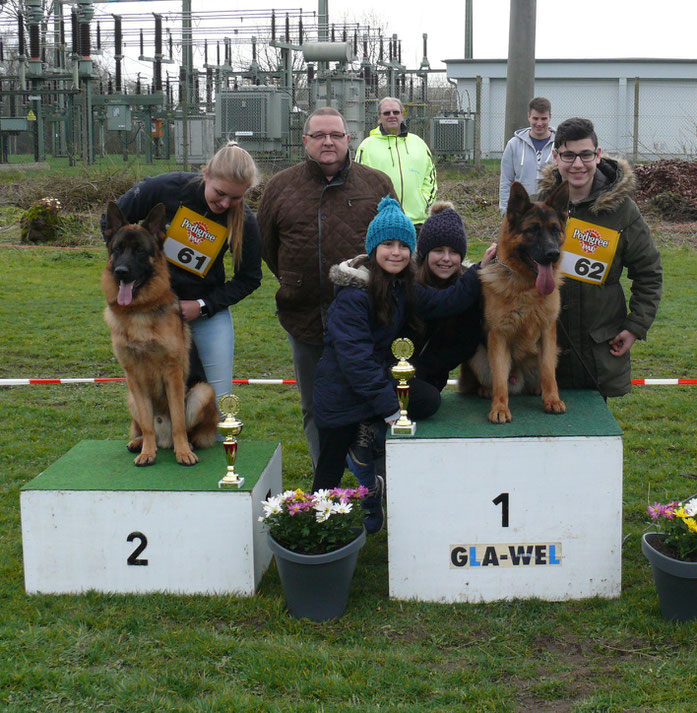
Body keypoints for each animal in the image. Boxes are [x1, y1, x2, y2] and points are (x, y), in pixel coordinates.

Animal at [101, 202, 218, 468]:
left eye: (140, 251)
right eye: (118, 249)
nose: (121, 271)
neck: (138, 311)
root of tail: (164, 440)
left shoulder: (172, 374)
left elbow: (178, 420)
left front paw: (183, 452)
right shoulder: (133, 376)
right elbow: (146, 422)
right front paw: (147, 452)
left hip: (202, 392)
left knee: (188, 429)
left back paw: (187, 444)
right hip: (131, 396)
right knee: (145, 427)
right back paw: (141, 443)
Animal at [460, 181, 568, 422]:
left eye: (555, 230)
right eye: (532, 230)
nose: (553, 254)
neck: (527, 289)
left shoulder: (548, 333)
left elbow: (549, 372)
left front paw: (552, 399)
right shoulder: (499, 336)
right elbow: (500, 378)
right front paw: (500, 408)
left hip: (553, 352)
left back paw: (538, 389)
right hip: (477, 356)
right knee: (494, 381)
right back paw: (486, 390)